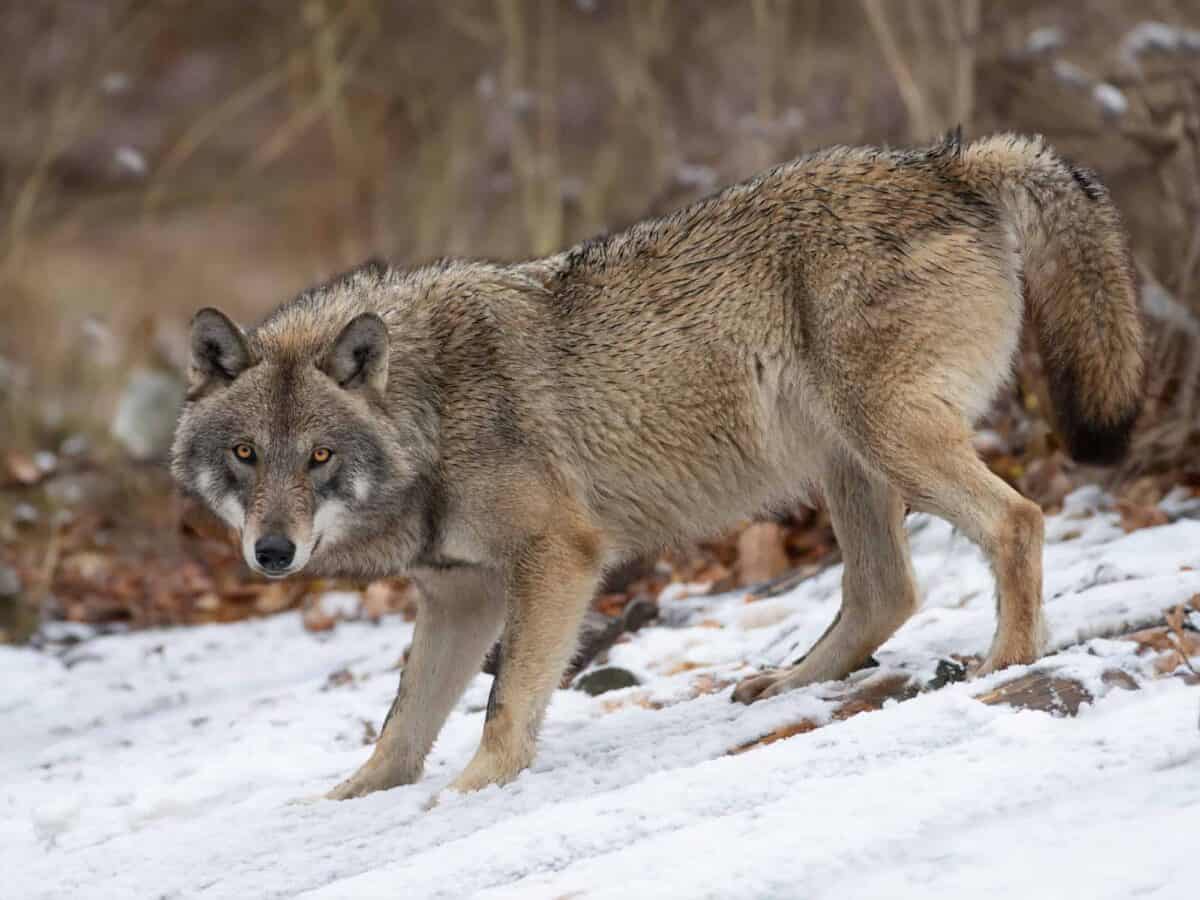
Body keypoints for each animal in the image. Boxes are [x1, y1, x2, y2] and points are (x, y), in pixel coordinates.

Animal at [171, 132, 1143, 799]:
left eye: (320, 457)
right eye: (247, 455)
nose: (271, 553)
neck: (430, 410)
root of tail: (951, 163)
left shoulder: (557, 559)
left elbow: (505, 701)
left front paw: (476, 790)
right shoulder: (458, 594)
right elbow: (400, 726)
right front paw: (348, 803)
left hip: (891, 444)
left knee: (1017, 521)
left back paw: (1006, 666)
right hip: (849, 462)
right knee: (886, 593)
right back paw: (790, 684)